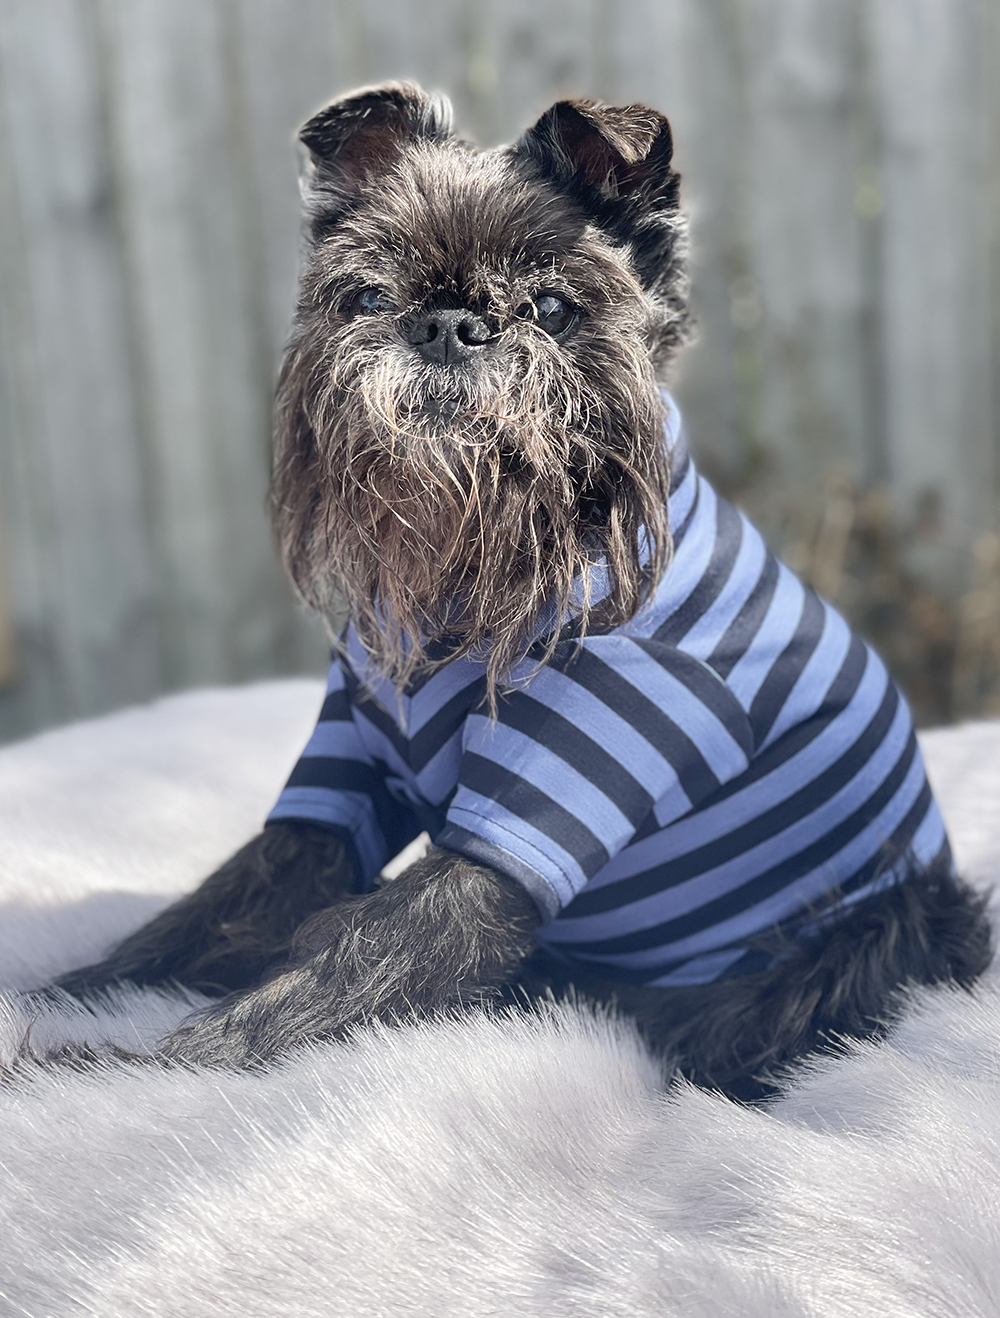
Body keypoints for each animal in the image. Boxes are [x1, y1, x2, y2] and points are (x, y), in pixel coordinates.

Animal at [48, 77, 996, 1096]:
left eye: (549, 306)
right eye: (368, 294)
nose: (447, 325)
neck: (461, 583)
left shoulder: (522, 827)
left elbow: (319, 981)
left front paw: (104, 1071)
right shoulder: (336, 787)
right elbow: (211, 908)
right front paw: (67, 995)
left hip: (856, 935)